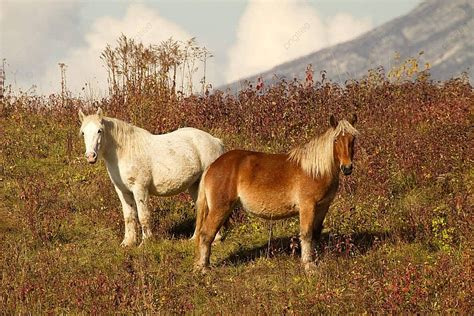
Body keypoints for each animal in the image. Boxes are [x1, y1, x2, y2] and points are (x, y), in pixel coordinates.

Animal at [78, 108, 226, 247]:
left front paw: (145, 242)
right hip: (195, 185)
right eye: (83, 132)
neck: (125, 151)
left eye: (99, 131)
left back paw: (215, 240)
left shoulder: (140, 189)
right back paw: (194, 239)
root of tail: (216, 141)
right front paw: (128, 243)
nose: (90, 156)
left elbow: (143, 216)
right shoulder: (122, 191)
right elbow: (129, 216)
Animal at [194, 115, 358, 272]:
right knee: (206, 234)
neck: (315, 171)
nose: (347, 168)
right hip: (219, 209)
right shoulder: (307, 206)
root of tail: (212, 166)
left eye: (353, 139)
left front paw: (316, 259)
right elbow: (306, 234)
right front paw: (308, 264)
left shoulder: (323, 207)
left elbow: (316, 233)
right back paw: (203, 268)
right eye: (336, 140)